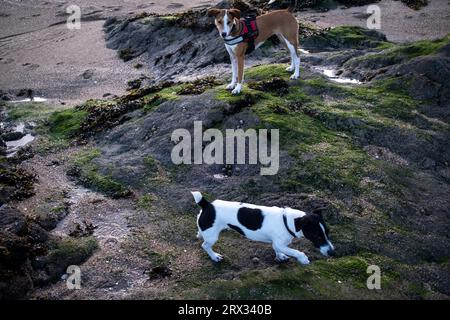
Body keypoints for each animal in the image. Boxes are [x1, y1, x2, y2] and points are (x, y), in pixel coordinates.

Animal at [190, 191, 334, 264]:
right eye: (317, 236)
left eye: (327, 232)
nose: (332, 252)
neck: (286, 221)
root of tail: (207, 204)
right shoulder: (281, 243)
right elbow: (297, 251)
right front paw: (303, 259)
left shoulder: (278, 244)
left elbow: (277, 249)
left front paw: (280, 256)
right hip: (213, 236)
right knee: (205, 246)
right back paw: (214, 257)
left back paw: (199, 234)